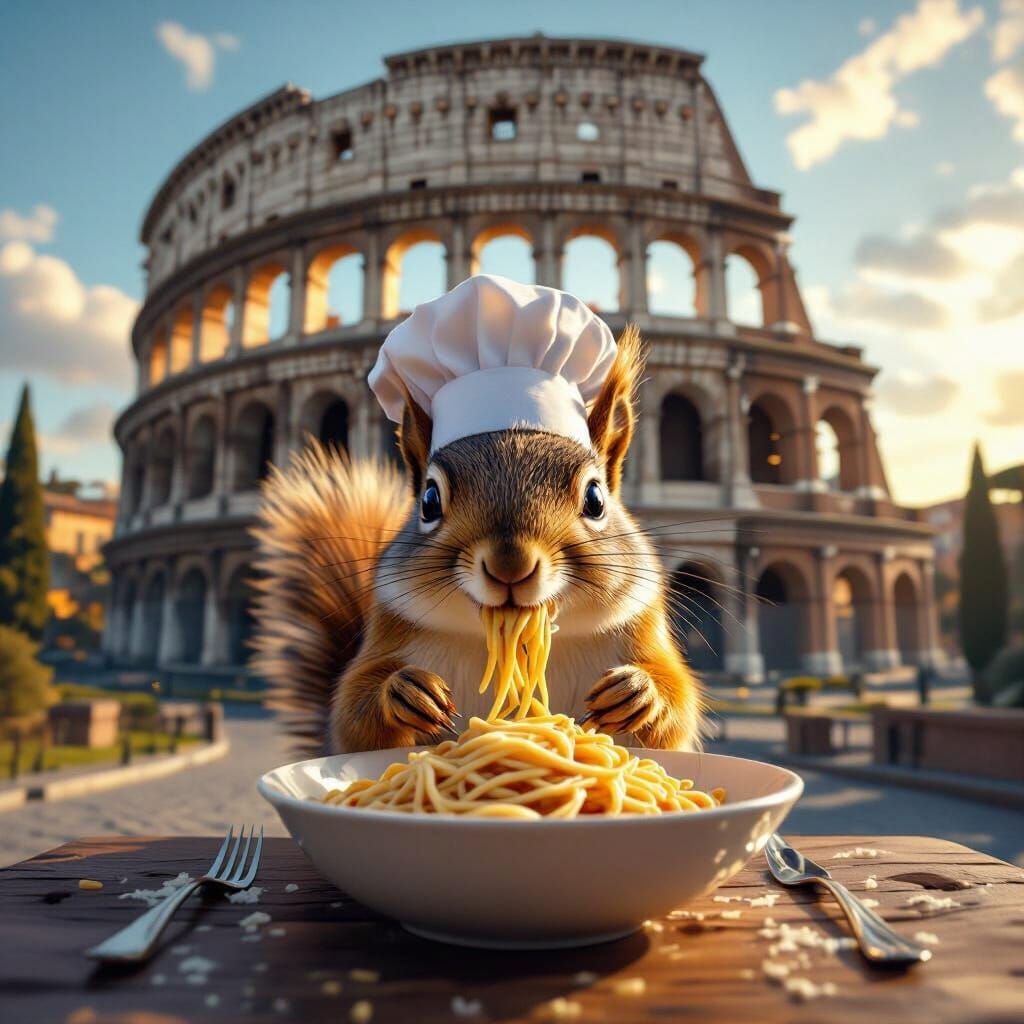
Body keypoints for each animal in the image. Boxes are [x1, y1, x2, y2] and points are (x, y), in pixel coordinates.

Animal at [252, 326, 702, 756]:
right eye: (429, 501)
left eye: (595, 499)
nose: (510, 566)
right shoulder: (387, 632)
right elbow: (353, 714)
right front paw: (404, 691)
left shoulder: (641, 628)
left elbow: (679, 705)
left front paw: (639, 691)